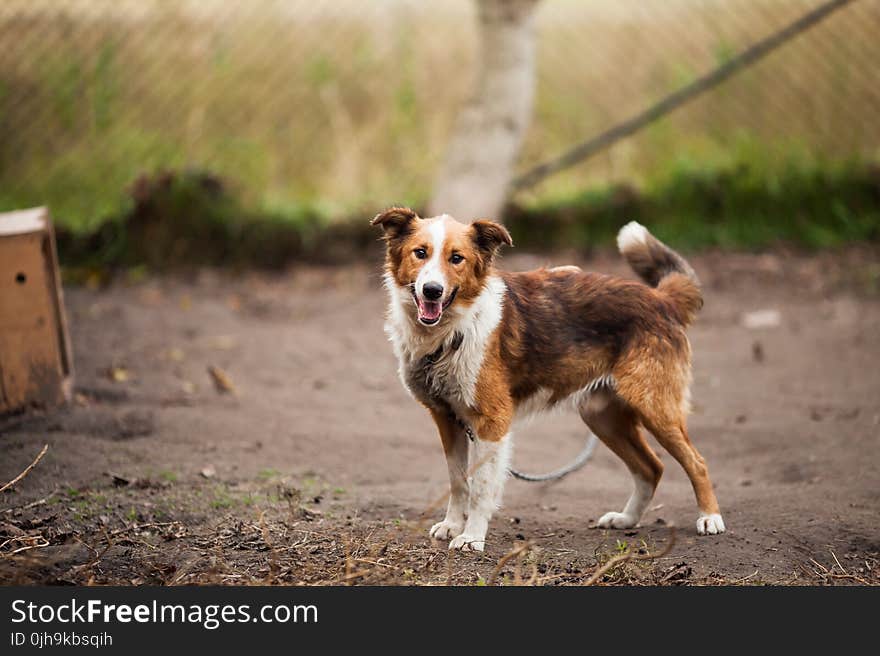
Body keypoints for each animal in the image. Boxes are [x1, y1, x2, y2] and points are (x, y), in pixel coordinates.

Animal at [372, 208, 720, 552]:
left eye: (456, 258)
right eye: (420, 253)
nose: (432, 290)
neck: (453, 331)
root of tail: (661, 299)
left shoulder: (491, 422)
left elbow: (481, 487)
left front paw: (472, 537)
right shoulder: (447, 418)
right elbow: (458, 479)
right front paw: (452, 525)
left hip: (655, 407)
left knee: (697, 462)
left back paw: (709, 518)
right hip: (603, 417)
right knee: (651, 467)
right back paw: (627, 519)